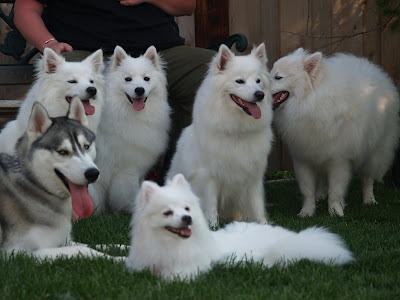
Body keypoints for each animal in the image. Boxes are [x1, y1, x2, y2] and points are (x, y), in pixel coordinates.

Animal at [126, 175, 354, 280]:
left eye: (187, 208)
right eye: (167, 212)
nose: (187, 218)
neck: (167, 243)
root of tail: (296, 238)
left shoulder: (189, 267)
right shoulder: (138, 261)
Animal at [166, 43, 276, 226]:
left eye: (258, 81)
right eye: (240, 81)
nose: (260, 95)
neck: (237, 130)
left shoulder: (253, 176)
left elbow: (256, 204)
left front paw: (264, 225)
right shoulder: (209, 176)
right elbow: (211, 205)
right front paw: (213, 226)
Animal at [270, 48, 398, 218]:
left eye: (278, 77)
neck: (312, 101)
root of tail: (373, 68)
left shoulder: (339, 161)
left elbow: (336, 190)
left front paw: (335, 211)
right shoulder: (303, 158)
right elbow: (307, 190)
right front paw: (307, 212)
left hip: (372, 152)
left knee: (367, 178)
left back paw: (369, 199)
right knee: (323, 179)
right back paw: (320, 195)